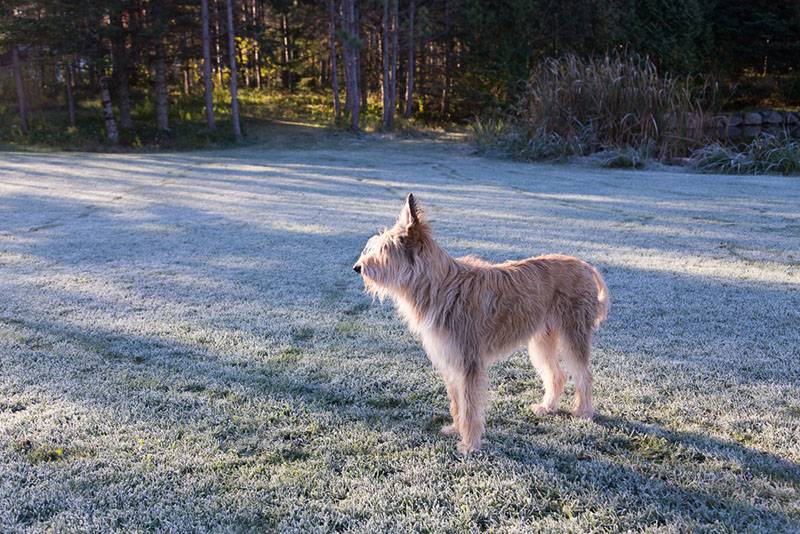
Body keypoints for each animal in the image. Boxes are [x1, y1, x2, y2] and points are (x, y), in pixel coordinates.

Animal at [354, 195, 608, 454]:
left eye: (385, 250)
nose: (358, 267)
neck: (439, 285)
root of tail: (584, 265)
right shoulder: (451, 360)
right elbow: (457, 402)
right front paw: (456, 429)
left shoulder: (468, 362)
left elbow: (470, 406)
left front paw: (469, 445)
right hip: (542, 340)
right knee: (556, 374)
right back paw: (548, 406)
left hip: (573, 335)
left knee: (584, 374)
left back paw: (584, 411)